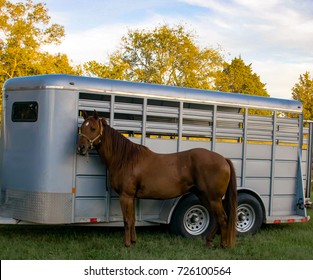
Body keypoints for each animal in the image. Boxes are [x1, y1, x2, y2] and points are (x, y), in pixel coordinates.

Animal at [77, 110, 236, 248]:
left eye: (92, 128)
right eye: (81, 128)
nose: (81, 148)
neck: (126, 159)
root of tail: (223, 159)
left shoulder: (125, 196)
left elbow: (127, 220)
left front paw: (126, 244)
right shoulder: (131, 197)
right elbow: (132, 219)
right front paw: (133, 241)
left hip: (213, 198)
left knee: (223, 218)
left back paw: (222, 245)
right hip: (204, 196)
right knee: (217, 218)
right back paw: (209, 242)